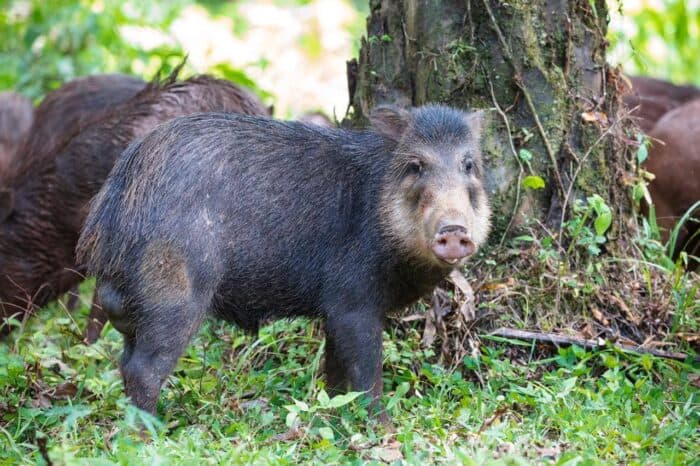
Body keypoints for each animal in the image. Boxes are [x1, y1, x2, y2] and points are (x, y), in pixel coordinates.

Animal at [77, 104, 491, 418]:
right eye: (416, 165)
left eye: (469, 165)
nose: (454, 229)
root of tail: (109, 213)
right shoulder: (351, 301)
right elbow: (366, 374)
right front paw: (381, 430)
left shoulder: (333, 310)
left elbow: (335, 374)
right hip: (175, 292)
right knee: (142, 368)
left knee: (124, 360)